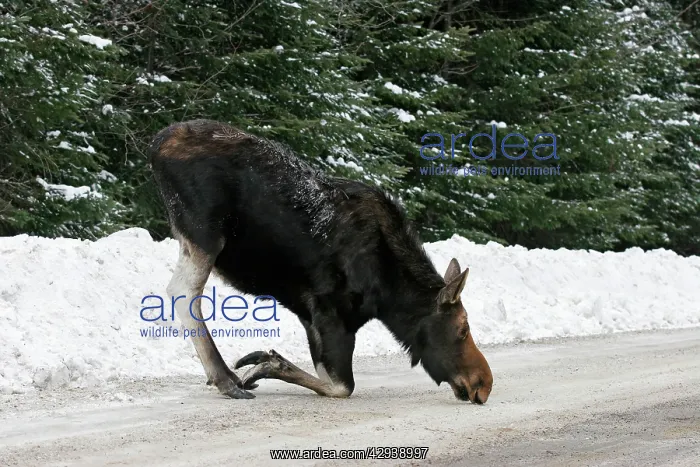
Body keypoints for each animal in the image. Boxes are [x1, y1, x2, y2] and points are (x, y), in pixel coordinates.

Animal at [148, 119, 493, 403]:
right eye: (463, 328)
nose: (484, 383)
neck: (388, 296)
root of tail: (156, 145)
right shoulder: (329, 310)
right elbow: (343, 386)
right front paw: (266, 364)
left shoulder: (311, 316)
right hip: (206, 233)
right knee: (183, 291)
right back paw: (226, 379)